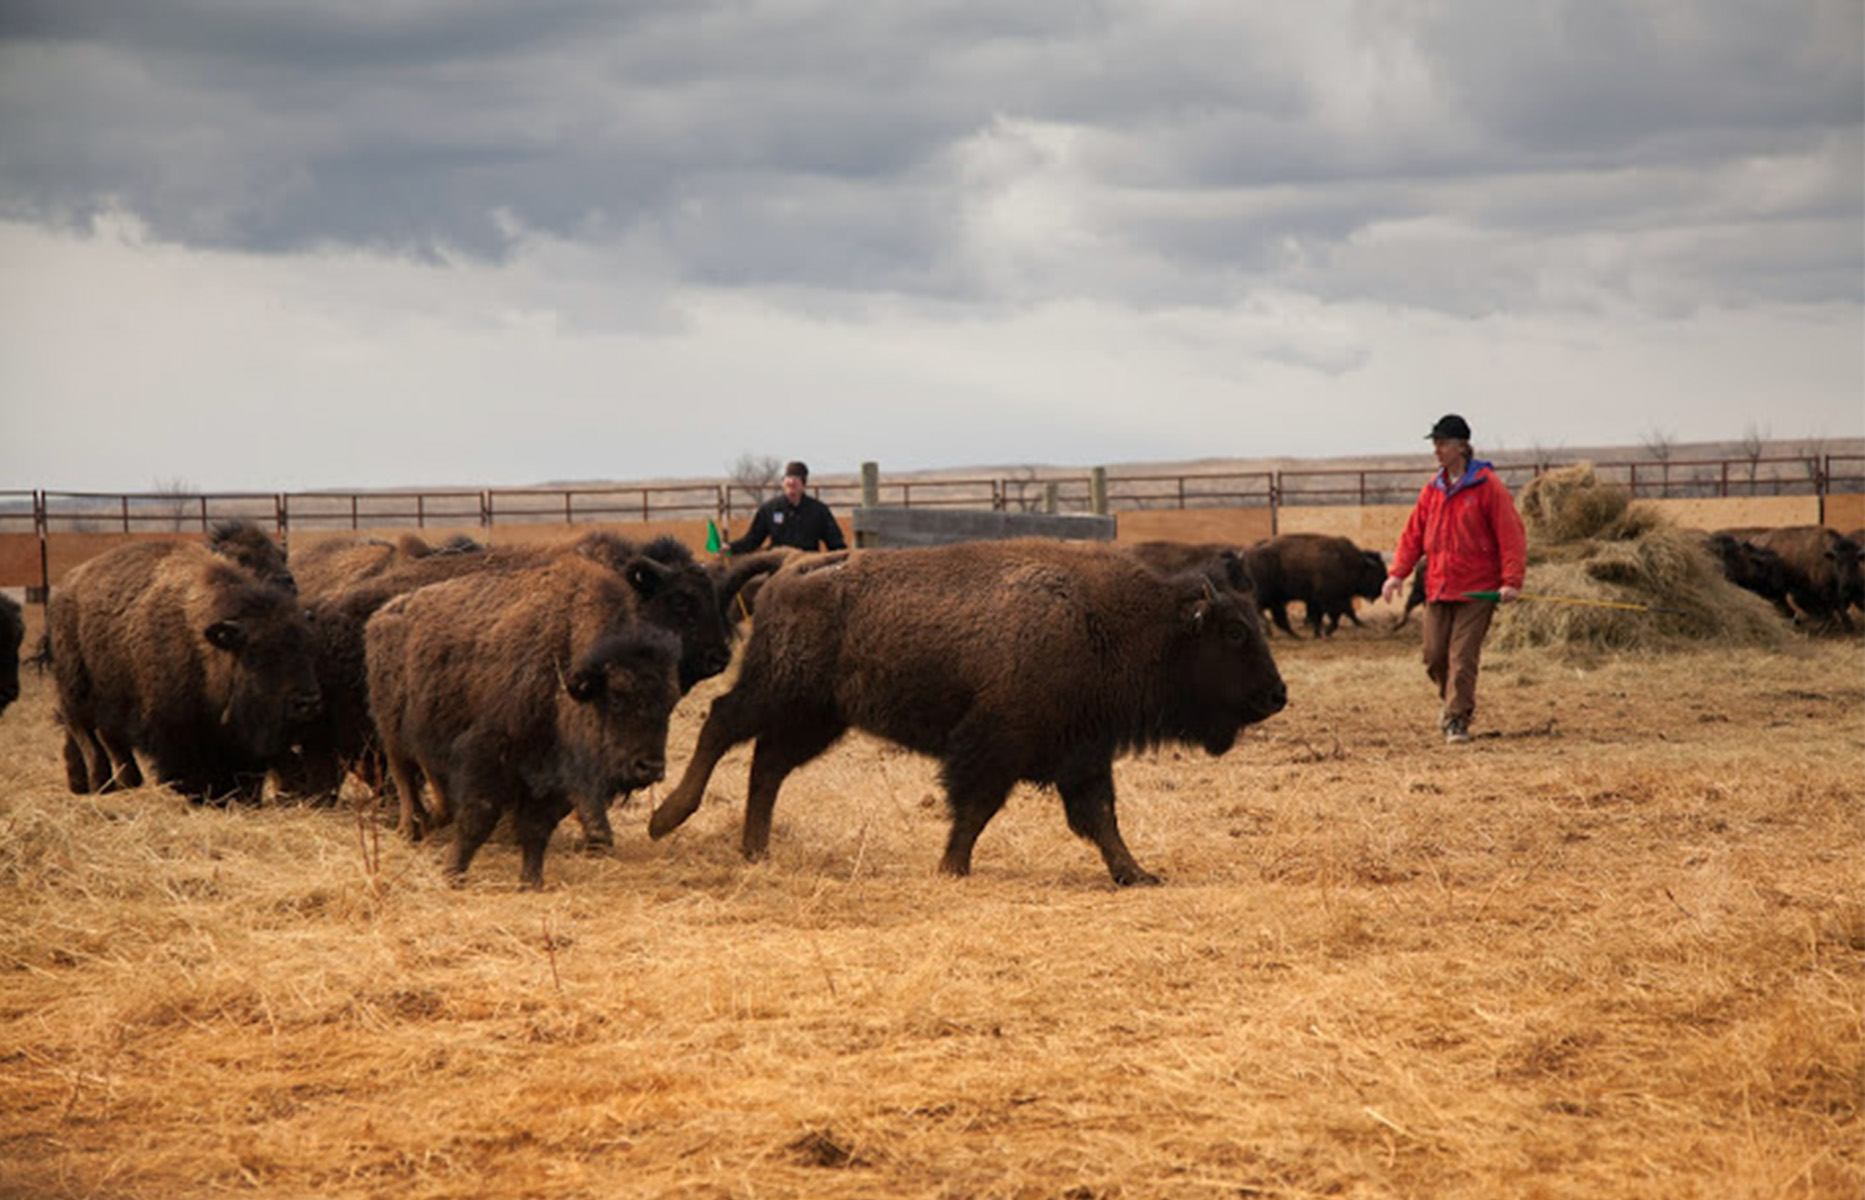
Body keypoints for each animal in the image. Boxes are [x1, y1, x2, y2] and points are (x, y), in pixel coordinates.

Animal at [49, 528, 322, 803]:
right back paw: (100, 783)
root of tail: (64, 588)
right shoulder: (175, 727)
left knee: (108, 738)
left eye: (308, 649)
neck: (207, 645)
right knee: (84, 733)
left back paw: (125, 782)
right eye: (258, 656)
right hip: (76, 692)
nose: (307, 703)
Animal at [364, 555, 682, 887]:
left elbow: (536, 828)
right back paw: (411, 827)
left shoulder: (554, 780)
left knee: (436, 790)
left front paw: (531, 882)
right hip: (394, 735)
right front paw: (453, 873)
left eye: (670, 703)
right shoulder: (487, 757)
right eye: (617, 697)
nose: (650, 768)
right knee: (405, 778)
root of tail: (381, 616)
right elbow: (479, 818)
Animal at [647, 540, 1287, 887]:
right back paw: (667, 818)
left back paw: (755, 850)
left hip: (818, 716)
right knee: (721, 723)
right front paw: (952, 867)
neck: (1114, 620)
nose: (1277, 695)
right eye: (1234, 632)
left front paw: (1137, 874)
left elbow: (1101, 819)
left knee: (768, 764)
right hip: (779, 690)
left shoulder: (1083, 753)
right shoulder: (996, 744)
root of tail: (793, 563)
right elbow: (977, 807)